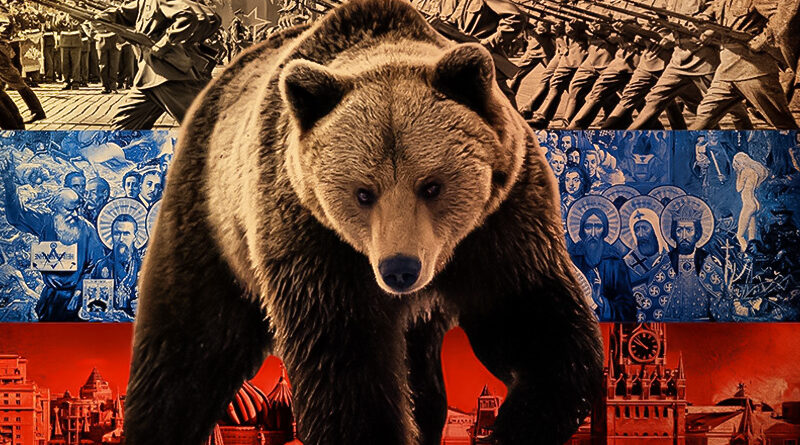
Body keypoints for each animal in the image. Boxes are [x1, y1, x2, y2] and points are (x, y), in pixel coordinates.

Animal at [124, 1, 604, 444]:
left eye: (432, 185)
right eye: (363, 192)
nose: (400, 269)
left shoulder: (503, 225)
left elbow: (538, 328)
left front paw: (512, 424)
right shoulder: (312, 238)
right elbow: (345, 365)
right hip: (213, 221)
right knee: (187, 350)